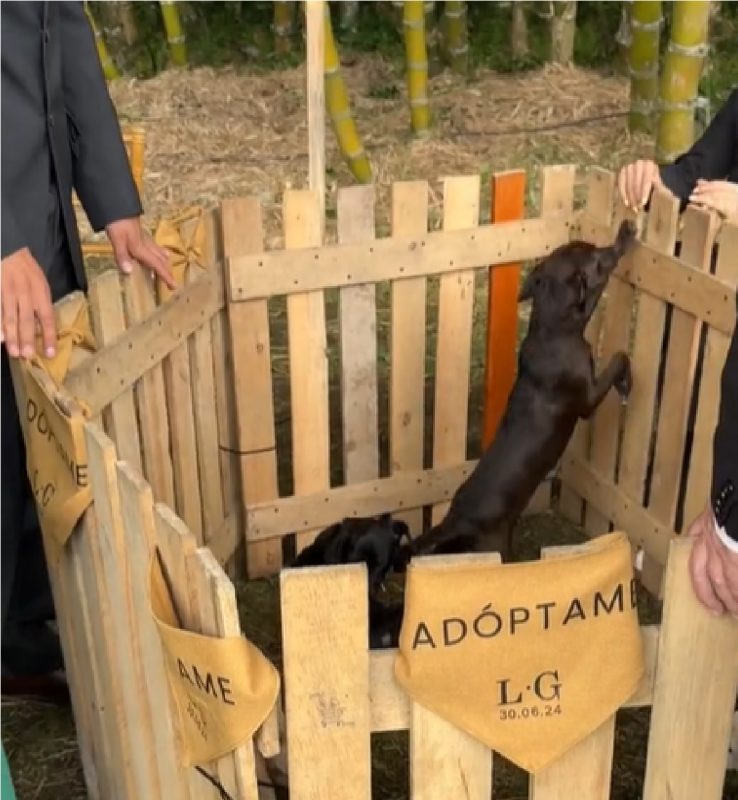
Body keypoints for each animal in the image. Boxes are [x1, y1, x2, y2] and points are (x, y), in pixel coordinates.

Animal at [406, 216, 636, 560]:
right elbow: (620, 358)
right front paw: (625, 383)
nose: (626, 228)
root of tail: (455, 519)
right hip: (495, 545)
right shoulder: (588, 398)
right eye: (598, 256)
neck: (551, 330)